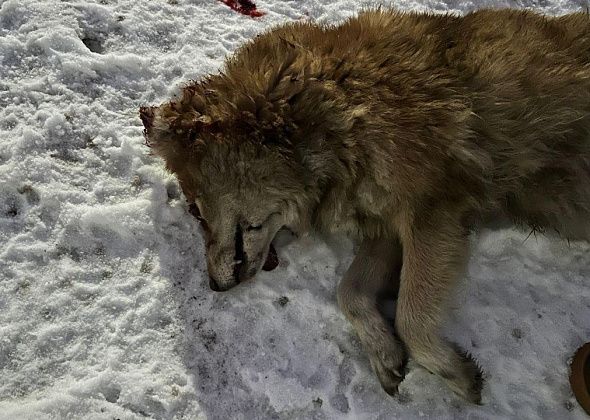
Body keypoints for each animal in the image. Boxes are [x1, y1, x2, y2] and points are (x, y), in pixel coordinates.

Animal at [141, 9, 590, 404]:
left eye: (196, 212)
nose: (214, 288)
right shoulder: (385, 229)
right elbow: (348, 292)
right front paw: (385, 353)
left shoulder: (434, 216)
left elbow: (410, 314)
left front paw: (455, 373)